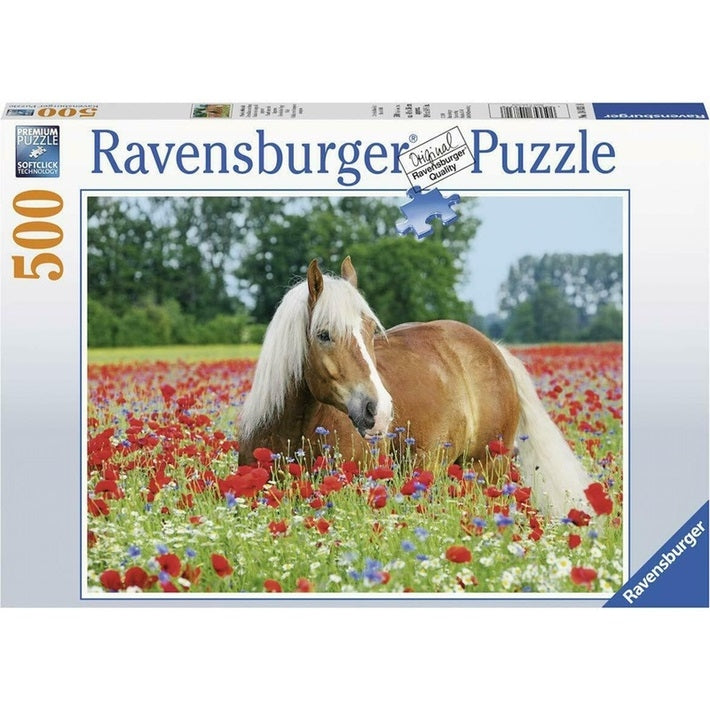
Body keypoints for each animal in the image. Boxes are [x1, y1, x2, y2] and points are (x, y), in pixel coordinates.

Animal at [238, 256, 591, 517]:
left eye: (370, 330)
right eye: (323, 334)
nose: (378, 411)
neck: (293, 430)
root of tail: (494, 350)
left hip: (488, 468)